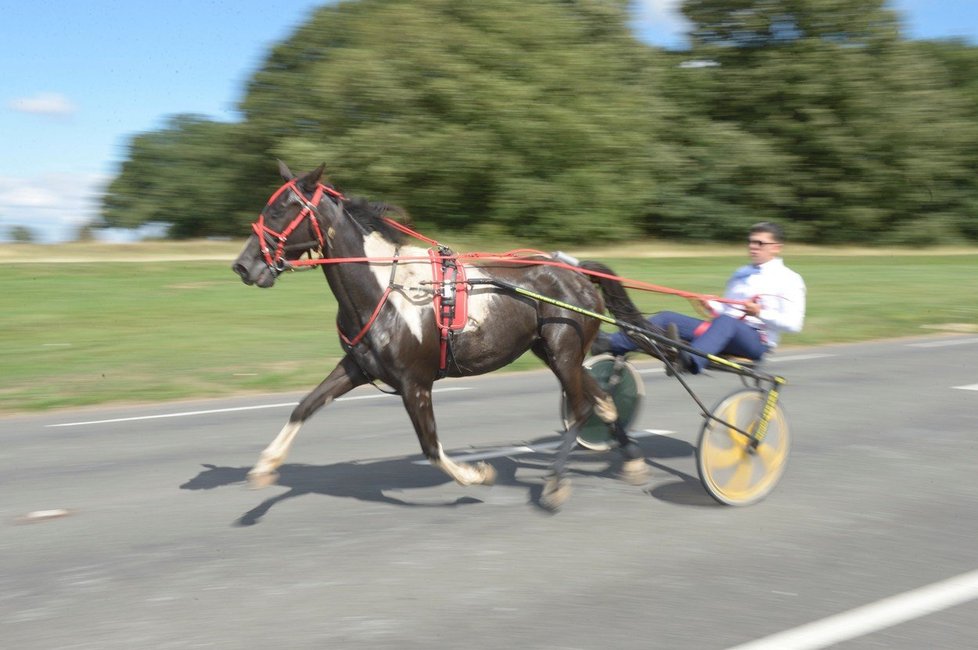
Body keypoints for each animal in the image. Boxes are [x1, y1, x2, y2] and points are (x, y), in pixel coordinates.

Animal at [230, 161, 656, 506]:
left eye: (280, 209)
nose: (243, 265)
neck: (385, 290)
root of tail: (576, 270)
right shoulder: (357, 367)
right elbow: (305, 405)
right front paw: (265, 466)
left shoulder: (414, 383)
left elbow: (431, 446)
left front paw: (476, 474)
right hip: (553, 353)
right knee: (604, 401)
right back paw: (632, 461)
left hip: (564, 351)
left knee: (583, 407)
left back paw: (554, 482)